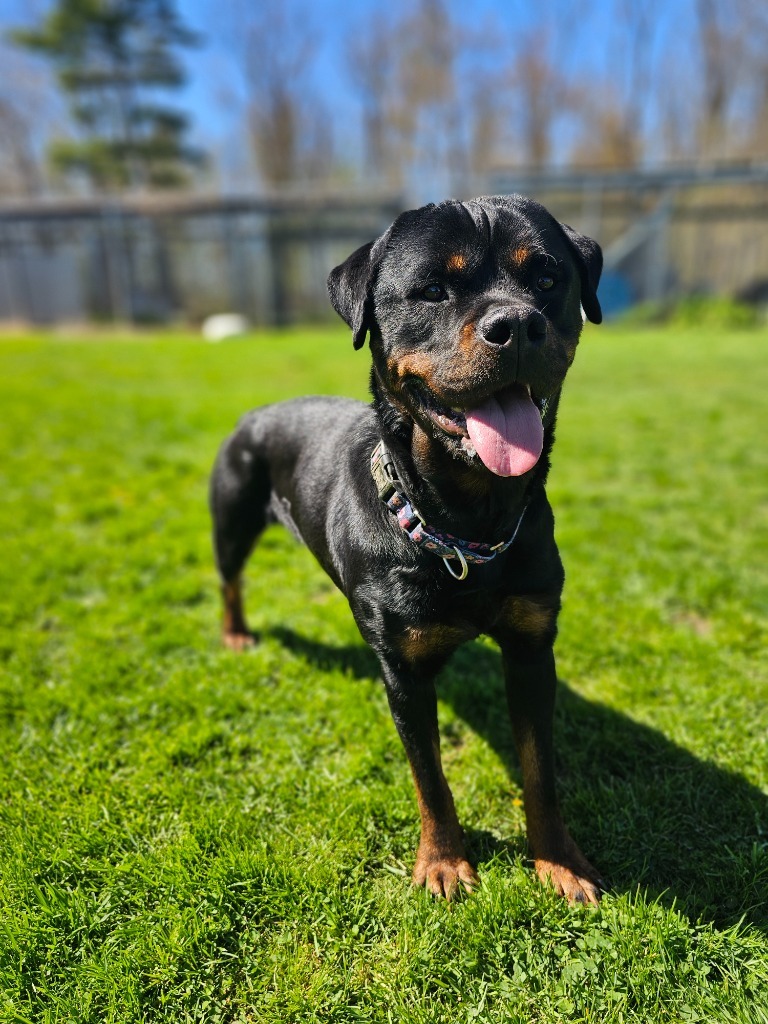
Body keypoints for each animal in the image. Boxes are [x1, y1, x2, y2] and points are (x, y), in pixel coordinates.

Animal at [211, 193, 606, 905]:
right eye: (431, 290)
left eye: (546, 279)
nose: (516, 324)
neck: (464, 524)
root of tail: (254, 412)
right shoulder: (402, 671)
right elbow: (431, 778)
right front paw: (444, 864)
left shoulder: (533, 647)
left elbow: (541, 770)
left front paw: (560, 862)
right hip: (232, 514)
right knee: (229, 578)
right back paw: (235, 633)